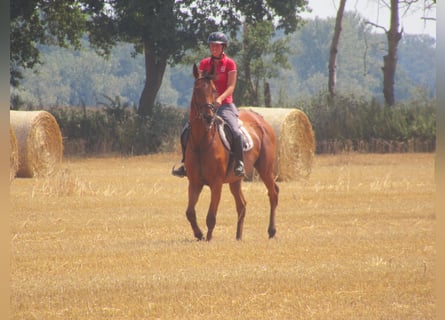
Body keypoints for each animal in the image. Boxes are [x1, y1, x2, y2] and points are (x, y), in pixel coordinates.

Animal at [183, 64, 278, 240]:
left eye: (214, 90)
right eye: (196, 91)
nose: (208, 116)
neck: (201, 142)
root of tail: (262, 121)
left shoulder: (216, 184)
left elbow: (211, 216)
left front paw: (208, 238)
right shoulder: (194, 183)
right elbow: (190, 212)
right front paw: (199, 234)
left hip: (265, 169)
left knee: (273, 193)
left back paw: (271, 231)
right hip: (235, 180)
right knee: (242, 205)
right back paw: (238, 236)